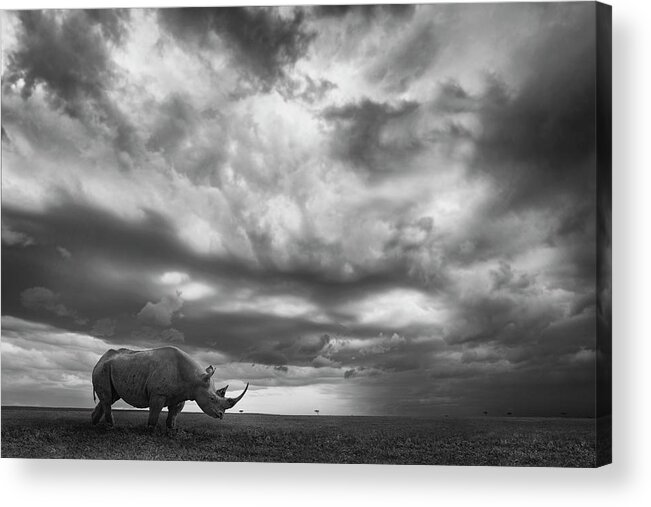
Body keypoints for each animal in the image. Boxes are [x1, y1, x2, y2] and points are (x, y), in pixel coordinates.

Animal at [89, 346, 247, 428]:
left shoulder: (182, 394)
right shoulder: (158, 394)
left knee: (110, 397)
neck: (195, 379)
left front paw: (171, 430)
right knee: (108, 398)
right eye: (212, 399)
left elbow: (174, 413)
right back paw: (111, 426)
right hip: (102, 369)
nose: (221, 415)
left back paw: (95, 424)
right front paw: (150, 430)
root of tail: (100, 359)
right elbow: (155, 412)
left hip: (110, 369)